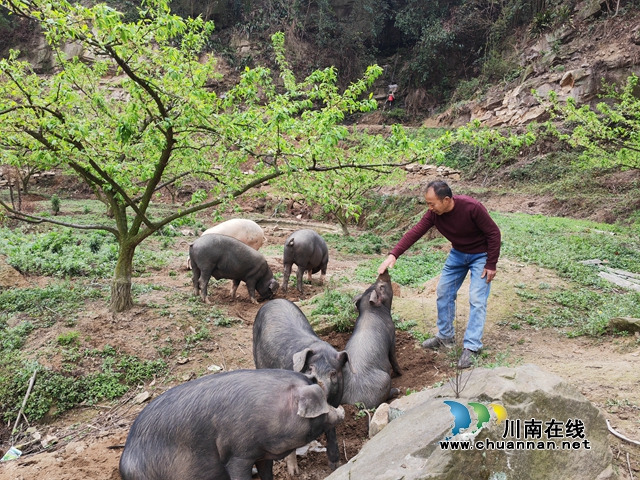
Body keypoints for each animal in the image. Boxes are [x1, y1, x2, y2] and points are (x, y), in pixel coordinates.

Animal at [117, 370, 342, 478]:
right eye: (322, 401)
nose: (341, 411)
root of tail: (124, 455)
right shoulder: (237, 455)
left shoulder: (262, 454)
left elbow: (266, 474)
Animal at [254, 300, 352, 472]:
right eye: (310, 368)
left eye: (333, 373)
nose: (318, 384)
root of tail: (273, 300)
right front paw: (294, 473)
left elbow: (331, 431)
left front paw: (335, 466)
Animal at [342, 270, 402, 408]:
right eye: (381, 287)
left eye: (372, 285)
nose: (382, 272)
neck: (369, 310)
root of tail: (354, 402)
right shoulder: (392, 336)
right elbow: (393, 358)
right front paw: (402, 373)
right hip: (385, 379)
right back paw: (397, 390)